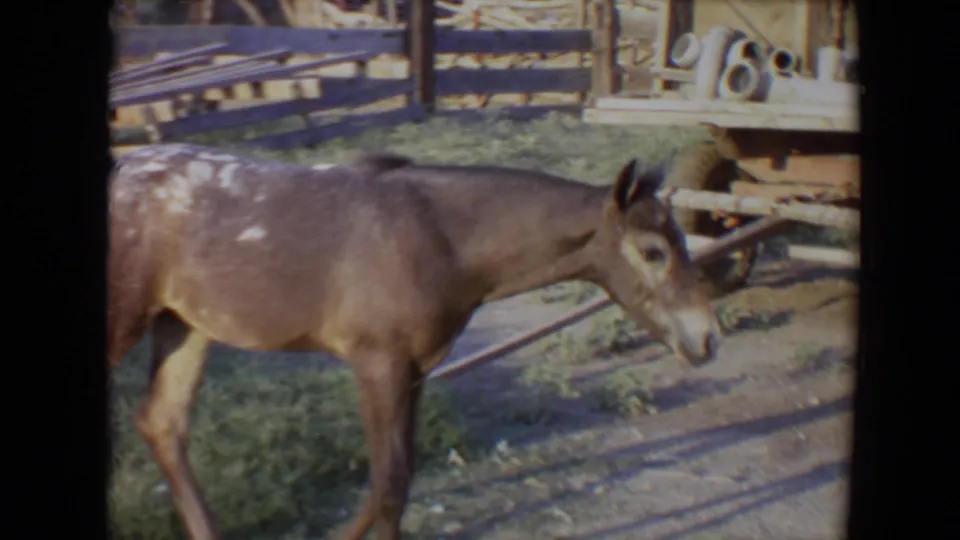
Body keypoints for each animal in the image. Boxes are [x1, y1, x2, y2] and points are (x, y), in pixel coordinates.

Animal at [108, 143, 722, 540]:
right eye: (652, 251)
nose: (708, 338)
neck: (439, 239)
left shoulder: (416, 368)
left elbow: (397, 485)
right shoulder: (377, 362)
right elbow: (386, 487)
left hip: (184, 324)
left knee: (162, 425)